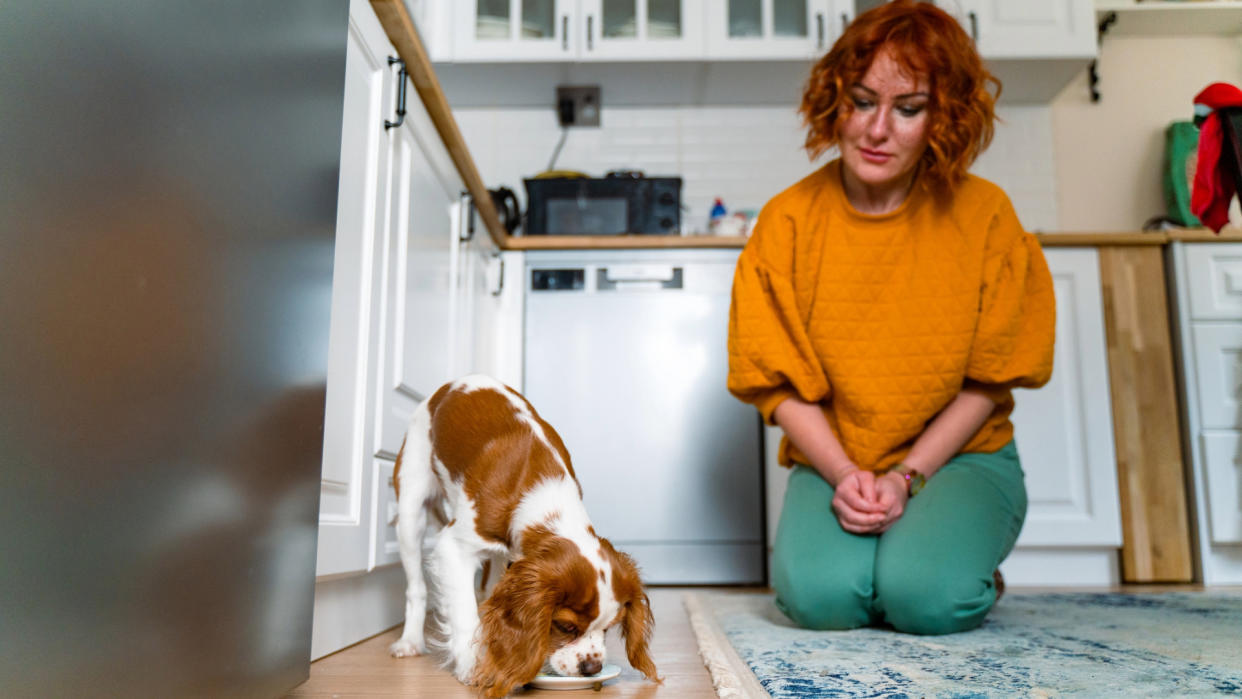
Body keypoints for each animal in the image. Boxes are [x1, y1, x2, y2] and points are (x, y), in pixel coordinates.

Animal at [387, 374, 660, 695]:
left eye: (608, 627)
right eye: (566, 626)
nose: (591, 669)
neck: (541, 488)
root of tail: (454, 383)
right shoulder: (454, 547)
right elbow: (464, 613)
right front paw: (472, 667)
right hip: (410, 505)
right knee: (415, 586)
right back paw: (410, 642)